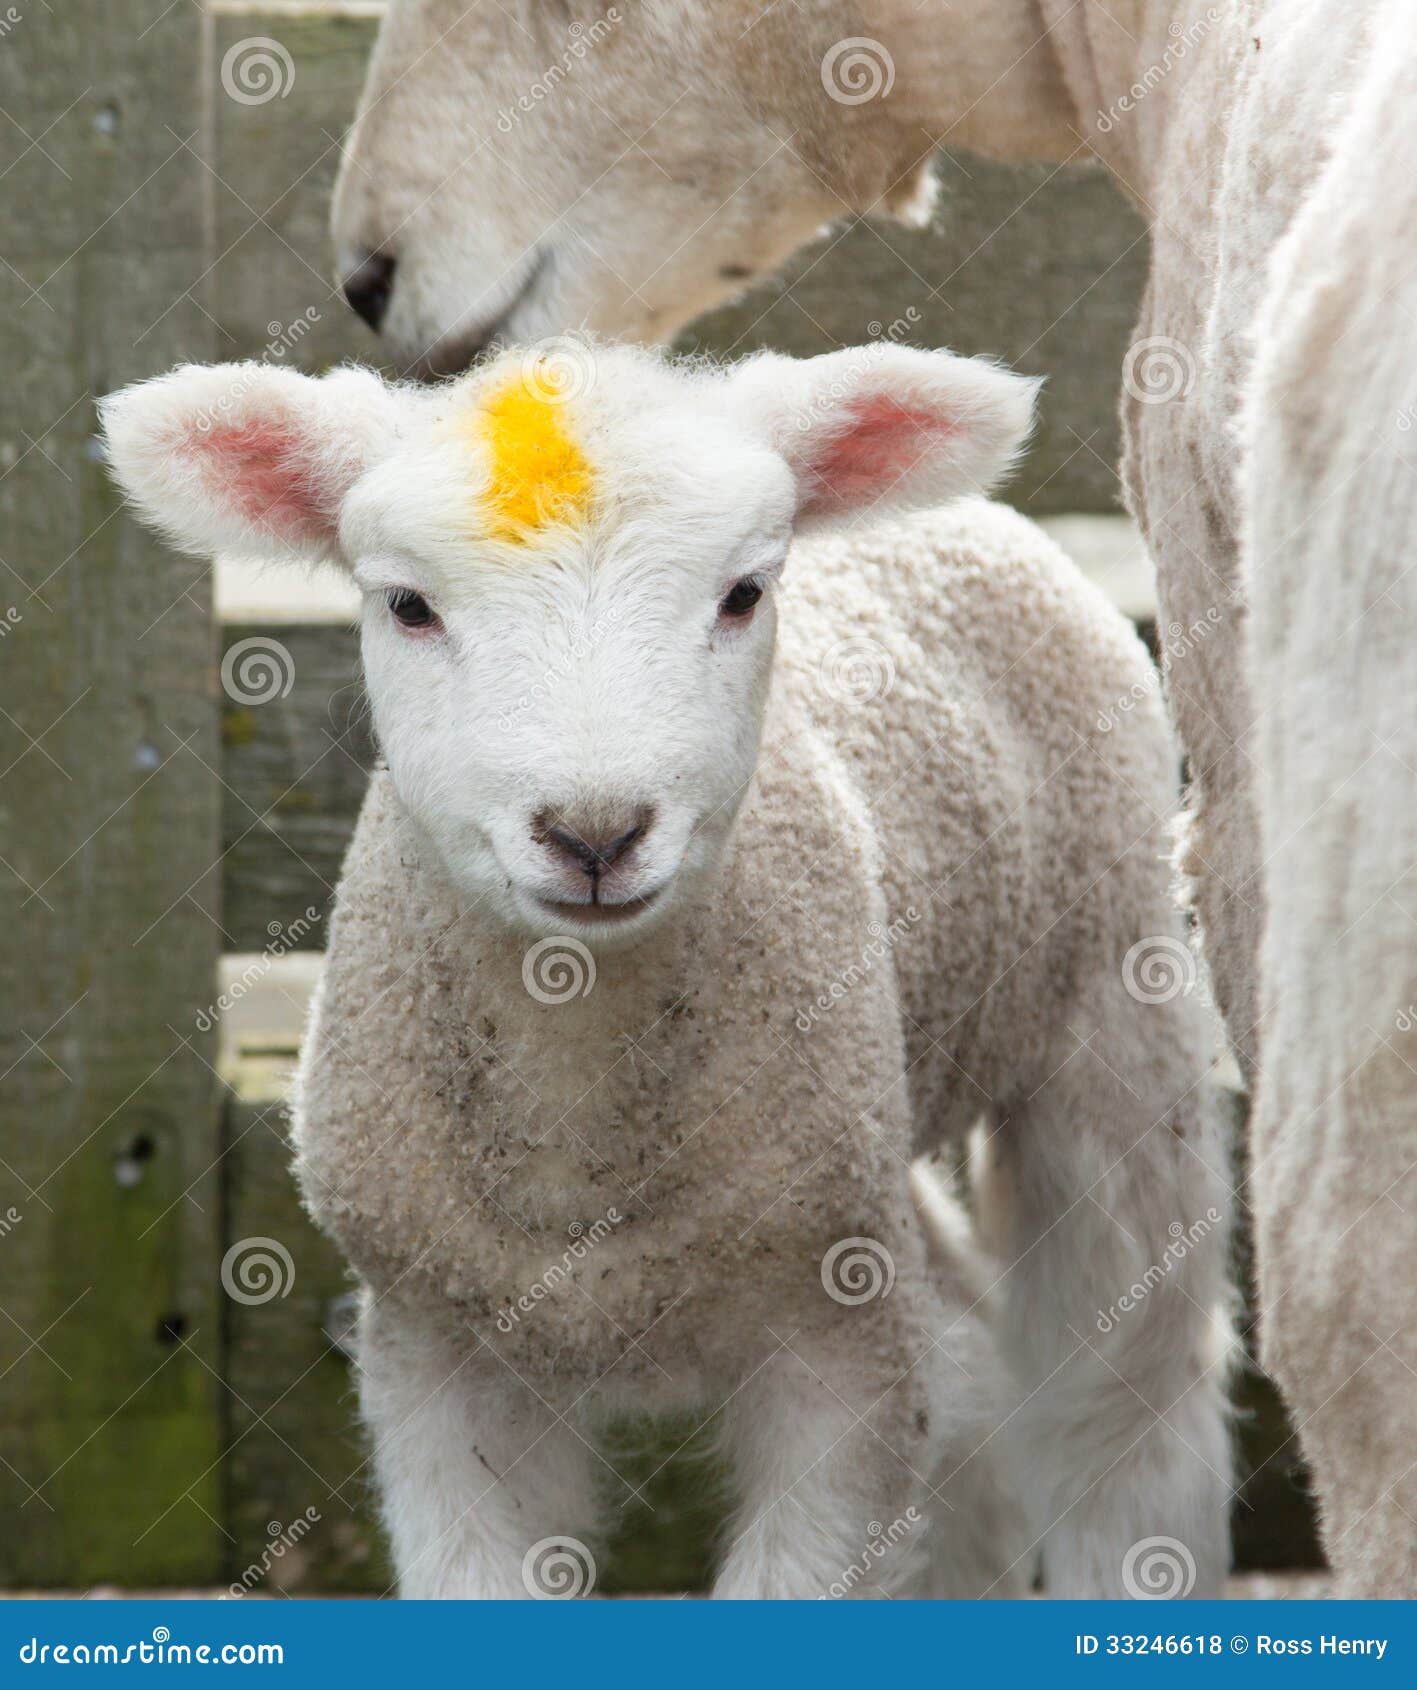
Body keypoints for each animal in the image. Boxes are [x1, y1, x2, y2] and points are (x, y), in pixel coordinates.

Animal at [101, 341, 1232, 1600]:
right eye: (406, 605)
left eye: (743, 592)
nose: (594, 833)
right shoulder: (440, 1348)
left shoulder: (835, 1348)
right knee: (970, 1358)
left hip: (1113, 993)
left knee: (1123, 1399)